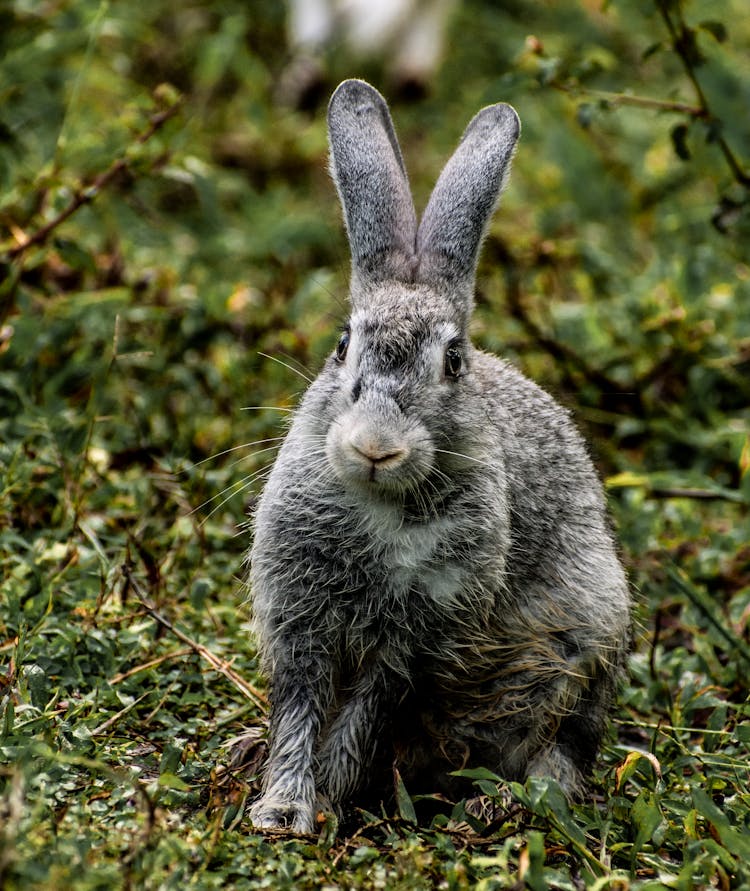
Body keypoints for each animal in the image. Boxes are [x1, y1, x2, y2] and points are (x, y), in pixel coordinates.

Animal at [250, 78, 632, 836]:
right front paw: (283, 808)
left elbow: (363, 716)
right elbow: (299, 711)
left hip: (583, 641)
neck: (379, 503)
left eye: (453, 362)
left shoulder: (415, 641)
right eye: (343, 345)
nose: (374, 446)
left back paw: (496, 803)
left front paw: (328, 799)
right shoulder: (301, 619)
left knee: (560, 751)